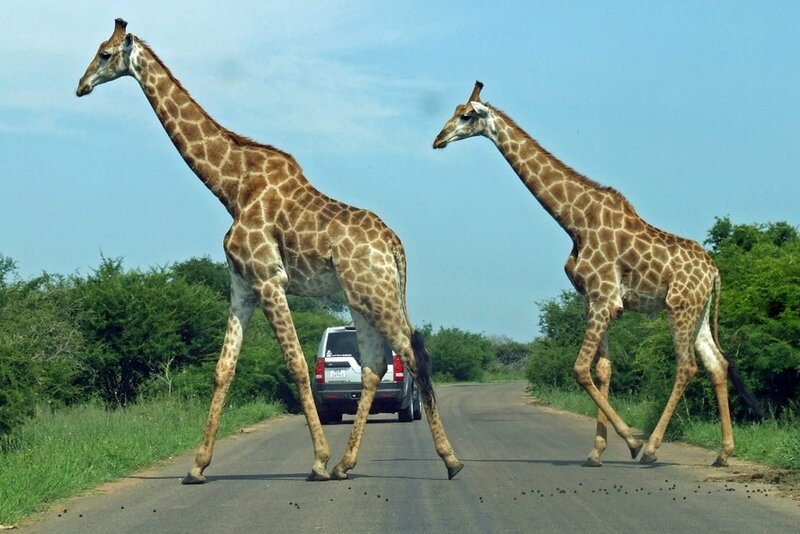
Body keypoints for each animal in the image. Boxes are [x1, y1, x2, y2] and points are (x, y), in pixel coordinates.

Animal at [76, 18, 463, 483]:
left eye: (104, 53)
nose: (81, 86)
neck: (231, 187)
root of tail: (395, 245)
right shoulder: (242, 286)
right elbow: (223, 369)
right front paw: (197, 466)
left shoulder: (268, 279)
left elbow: (295, 364)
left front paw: (317, 460)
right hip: (359, 296)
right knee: (373, 364)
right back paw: (347, 464)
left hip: (377, 292)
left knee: (414, 354)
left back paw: (449, 460)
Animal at [433, 81, 762, 467]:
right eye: (455, 111)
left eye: (467, 115)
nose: (438, 139)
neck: (575, 221)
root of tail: (713, 272)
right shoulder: (593, 300)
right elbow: (603, 369)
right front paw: (596, 451)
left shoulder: (604, 298)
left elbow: (579, 368)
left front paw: (631, 443)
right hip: (698, 313)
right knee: (716, 364)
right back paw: (724, 453)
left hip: (679, 309)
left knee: (687, 367)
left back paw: (652, 449)